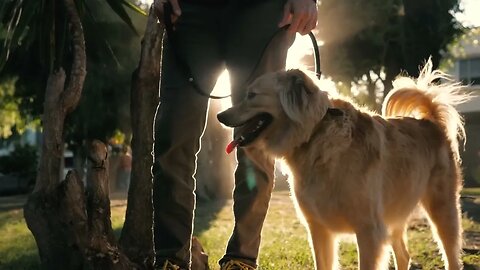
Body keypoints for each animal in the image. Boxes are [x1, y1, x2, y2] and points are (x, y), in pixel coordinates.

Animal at [218, 61, 468, 270]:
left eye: (251, 95)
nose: (220, 115)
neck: (315, 134)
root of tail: (431, 122)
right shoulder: (319, 230)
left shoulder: (369, 231)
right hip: (395, 215)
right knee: (404, 255)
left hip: (442, 209)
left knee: (452, 257)